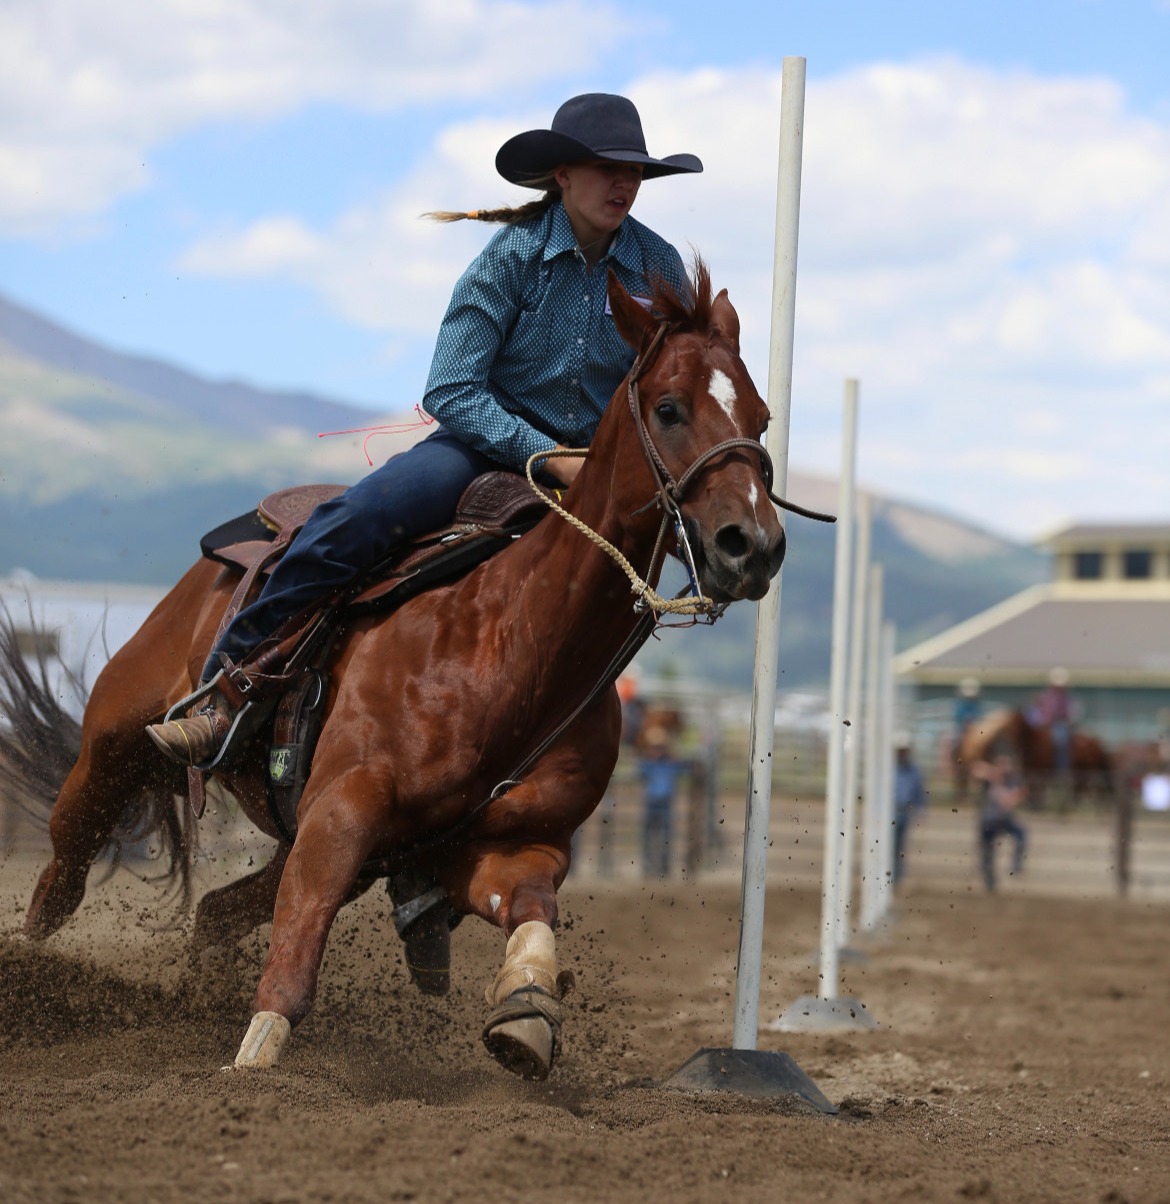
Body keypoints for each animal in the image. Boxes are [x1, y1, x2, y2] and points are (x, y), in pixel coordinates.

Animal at [18, 266, 804, 1083]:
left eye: (760, 416)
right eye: (669, 408)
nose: (753, 544)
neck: (511, 644)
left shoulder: (500, 847)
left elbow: (532, 913)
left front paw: (525, 1015)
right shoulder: (342, 811)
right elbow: (295, 959)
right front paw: (256, 1061)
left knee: (214, 912)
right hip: (113, 747)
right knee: (63, 877)